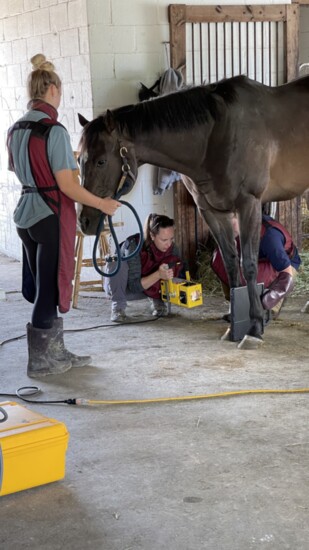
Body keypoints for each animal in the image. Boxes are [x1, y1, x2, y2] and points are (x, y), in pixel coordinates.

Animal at [77, 74, 309, 350]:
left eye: (101, 161)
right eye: (79, 160)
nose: (85, 221)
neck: (215, 136)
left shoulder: (248, 205)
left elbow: (250, 264)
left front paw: (254, 328)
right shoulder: (211, 210)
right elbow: (231, 263)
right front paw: (235, 322)